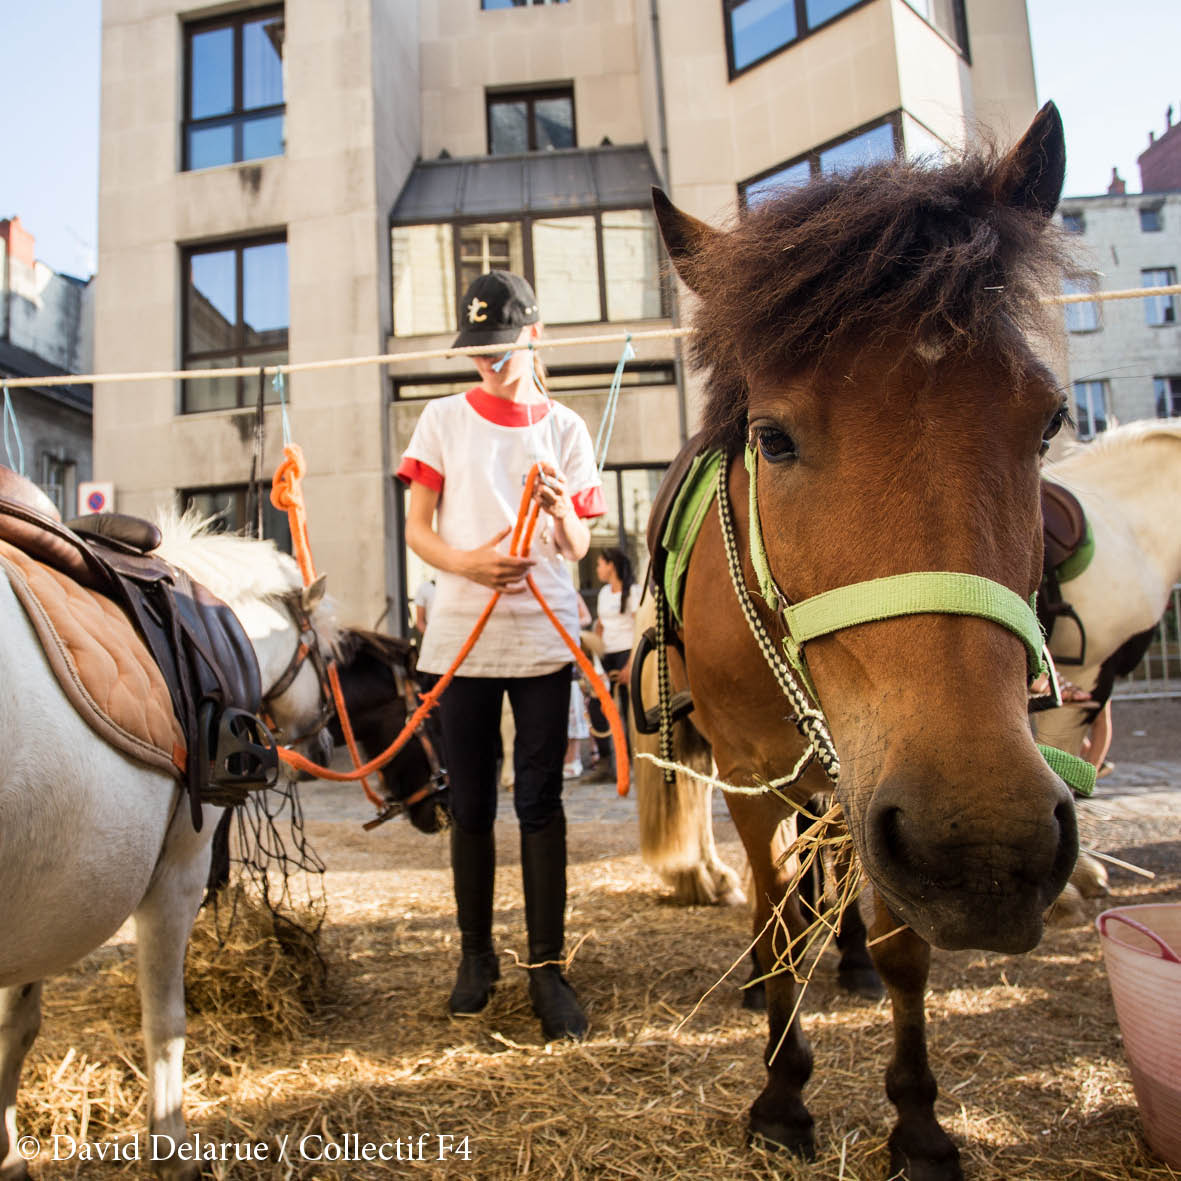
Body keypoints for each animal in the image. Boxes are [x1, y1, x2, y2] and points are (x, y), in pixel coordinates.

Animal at [0, 514, 337, 1181]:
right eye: (328, 655)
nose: (326, 741)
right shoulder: (177, 874)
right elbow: (165, 1021)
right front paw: (171, 1143)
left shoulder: (37, 901)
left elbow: (14, 1025)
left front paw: (5, 1153)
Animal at [647, 103, 1081, 1181]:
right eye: (769, 437)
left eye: (1047, 419)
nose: (984, 844)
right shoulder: (751, 772)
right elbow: (770, 923)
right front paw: (779, 1096)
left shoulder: (878, 784)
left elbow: (902, 946)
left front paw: (916, 1122)